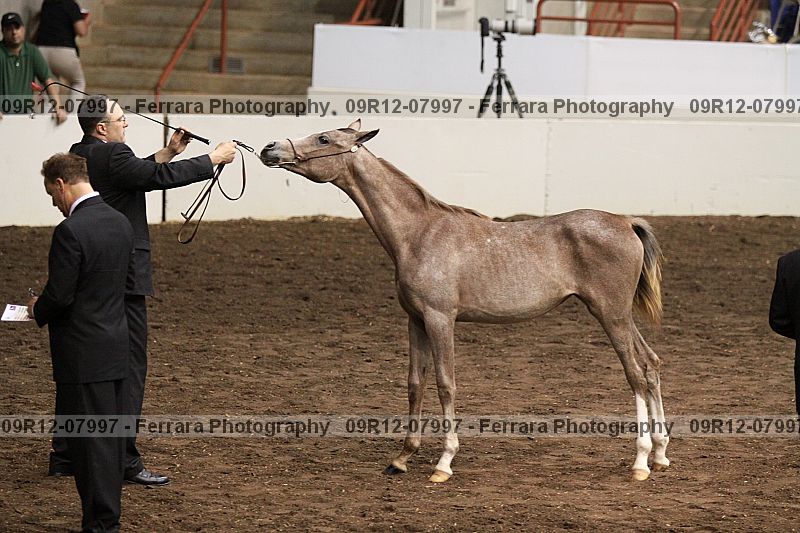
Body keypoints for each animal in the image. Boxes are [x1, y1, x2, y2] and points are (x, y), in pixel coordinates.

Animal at [260, 120, 669, 482]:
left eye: (323, 138)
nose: (269, 148)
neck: (419, 233)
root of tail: (626, 222)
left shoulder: (440, 319)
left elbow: (446, 383)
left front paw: (444, 462)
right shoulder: (415, 320)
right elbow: (415, 383)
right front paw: (402, 458)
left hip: (610, 315)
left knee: (635, 374)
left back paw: (641, 461)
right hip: (620, 315)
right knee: (650, 364)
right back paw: (661, 453)